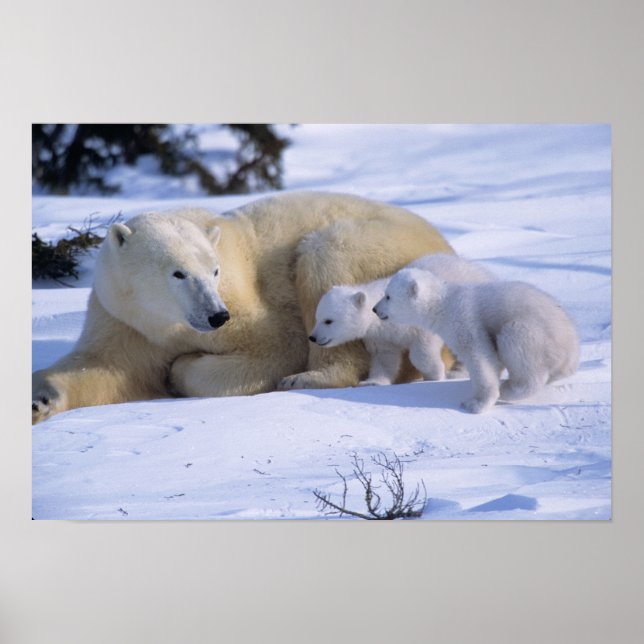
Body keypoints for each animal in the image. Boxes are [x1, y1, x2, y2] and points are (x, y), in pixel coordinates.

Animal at [32, 191, 454, 423]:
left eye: (214, 269)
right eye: (178, 273)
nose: (216, 315)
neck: (165, 322)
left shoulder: (244, 303)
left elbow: (276, 346)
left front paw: (179, 371)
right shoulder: (124, 318)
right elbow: (105, 368)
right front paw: (40, 401)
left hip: (376, 248)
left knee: (326, 259)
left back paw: (308, 377)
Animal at [308, 254, 495, 386]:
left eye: (328, 320)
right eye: (317, 318)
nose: (313, 337)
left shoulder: (418, 320)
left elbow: (422, 350)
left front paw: (435, 375)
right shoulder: (380, 336)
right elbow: (384, 357)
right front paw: (372, 382)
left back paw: (458, 371)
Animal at [373, 267, 579, 413]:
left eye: (388, 296)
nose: (375, 309)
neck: (444, 303)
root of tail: (571, 347)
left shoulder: (465, 320)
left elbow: (479, 357)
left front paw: (475, 404)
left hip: (534, 333)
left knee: (517, 345)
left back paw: (509, 388)